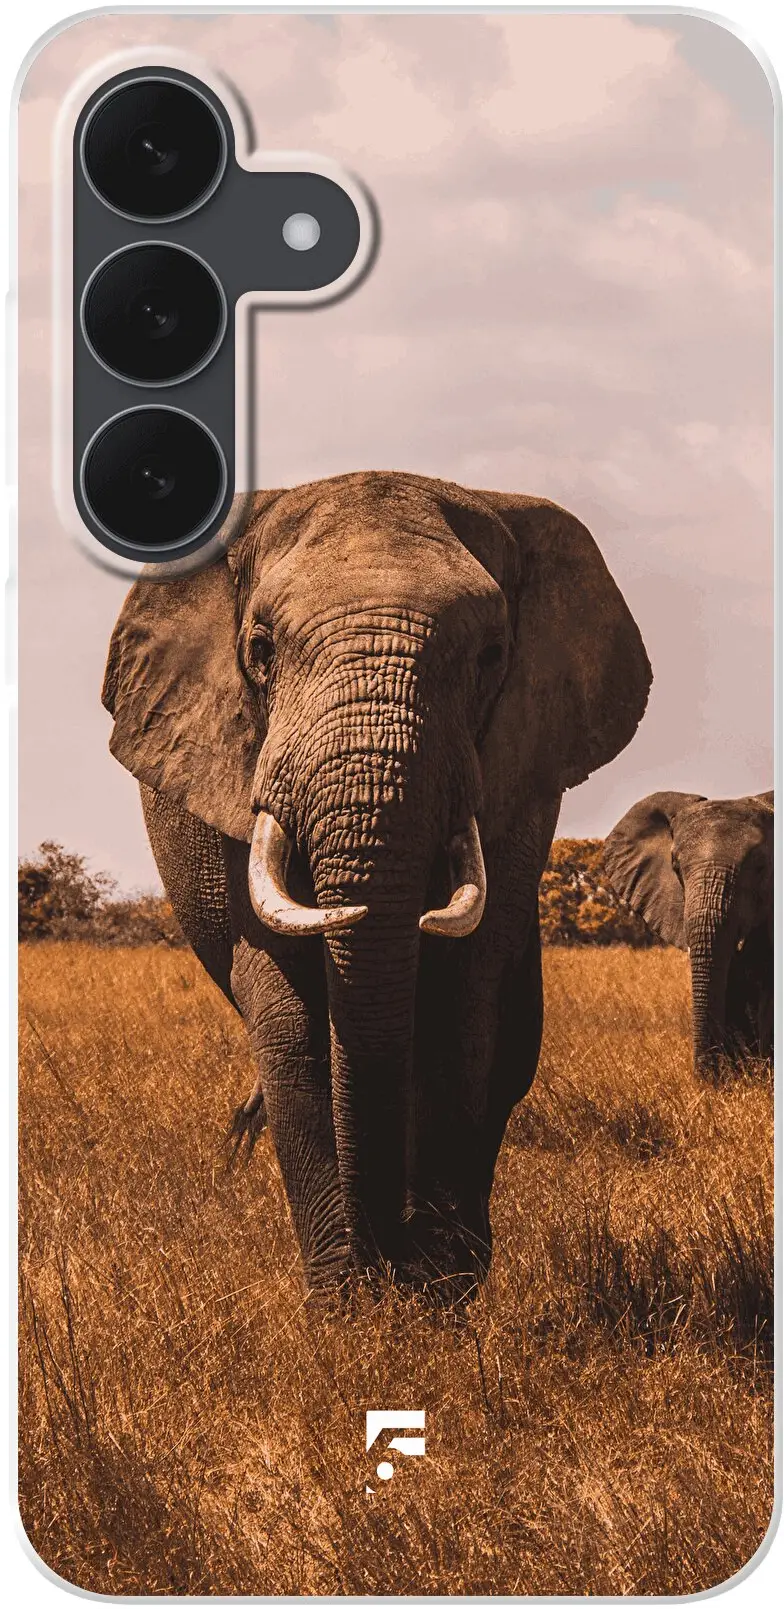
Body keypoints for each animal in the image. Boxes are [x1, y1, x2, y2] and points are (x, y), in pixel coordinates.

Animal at [103, 471, 651, 1300]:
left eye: (492, 655)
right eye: (260, 650)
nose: (388, 1253)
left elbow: (463, 1006)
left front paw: (435, 1294)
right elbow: (292, 1020)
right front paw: (350, 1304)